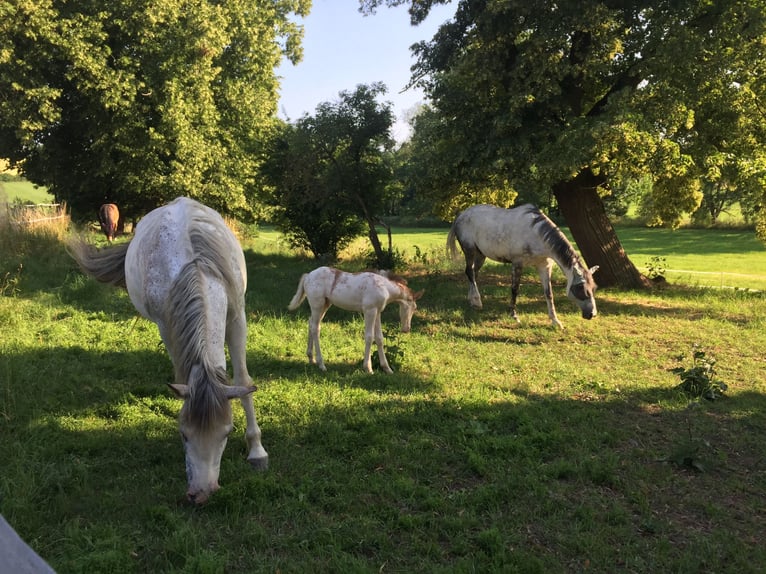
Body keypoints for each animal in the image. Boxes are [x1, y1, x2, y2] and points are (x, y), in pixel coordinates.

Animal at [70, 197, 268, 504]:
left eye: (227, 433)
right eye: (183, 434)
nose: (202, 494)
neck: (197, 269)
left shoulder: (237, 319)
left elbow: (244, 381)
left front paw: (257, 451)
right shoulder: (167, 325)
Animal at [286, 268, 424, 376]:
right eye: (414, 308)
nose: (406, 329)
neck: (385, 287)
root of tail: (308, 276)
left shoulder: (377, 312)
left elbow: (379, 338)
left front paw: (387, 369)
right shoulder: (369, 311)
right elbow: (369, 337)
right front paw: (368, 368)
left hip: (325, 305)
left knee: (311, 323)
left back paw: (311, 358)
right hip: (317, 304)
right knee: (315, 328)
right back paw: (321, 364)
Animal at [448, 204, 604, 328]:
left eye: (594, 288)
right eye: (580, 288)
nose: (592, 314)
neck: (536, 234)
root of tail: (461, 215)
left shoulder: (544, 267)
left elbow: (549, 294)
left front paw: (555, 321)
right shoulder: (517, 264)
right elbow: (514, 290)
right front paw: (514, 315)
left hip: (481, 254)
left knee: (473, 274)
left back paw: (472, 300)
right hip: (469, 250)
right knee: (470, 272)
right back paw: (477, 301)